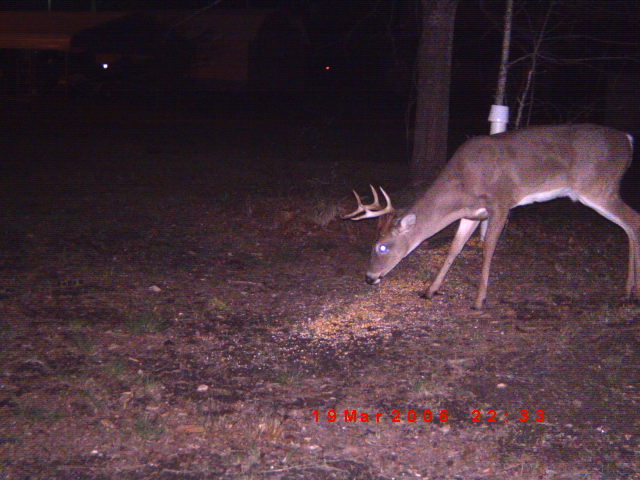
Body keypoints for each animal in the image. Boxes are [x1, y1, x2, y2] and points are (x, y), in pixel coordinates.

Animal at [344, 123, 640, 310]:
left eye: (382, 246)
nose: (369, 277)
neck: (463, 184)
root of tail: (628, 139)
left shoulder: (500, 202)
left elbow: (487, 249)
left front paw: (479, 300)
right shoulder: (472, 213)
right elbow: (454, 248)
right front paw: (430, 290)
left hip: (598, 187)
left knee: (633, 221)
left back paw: (629, 292)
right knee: (630, 225)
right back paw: (631, 291)